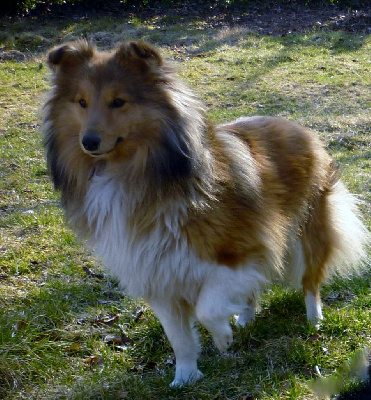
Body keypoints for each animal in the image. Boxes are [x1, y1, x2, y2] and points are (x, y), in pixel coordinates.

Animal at [42, 40, 370, 388]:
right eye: (81, 102)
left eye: (118, 101)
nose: (88, 142)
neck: (137, 175)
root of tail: (297, 126)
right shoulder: (158, 275)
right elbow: (180, 338)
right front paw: (186, 376)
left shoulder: (244, 252)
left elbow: (206, 309)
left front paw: (222, 336)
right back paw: (245, 319)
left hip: (306, 234)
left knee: (310, 281)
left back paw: (313, 320)